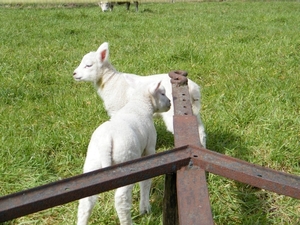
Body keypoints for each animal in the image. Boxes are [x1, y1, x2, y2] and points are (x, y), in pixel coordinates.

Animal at [72, 42, 206, 148]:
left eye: (88, 65)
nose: (74, 73)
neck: (111, 81)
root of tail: (193, 88)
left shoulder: (116, 109)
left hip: (175, 111)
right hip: (192, 110)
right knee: (200, 131)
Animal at [77, 76, 171, 225]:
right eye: (162, 93)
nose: (170, 103)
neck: (139, 105)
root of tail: (106, 141)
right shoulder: (149, 149)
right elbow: (146, 181)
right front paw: (145, 208)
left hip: (92, 163)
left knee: (86, 202)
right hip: (125, 160)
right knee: (121, 199)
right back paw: (128, 221)